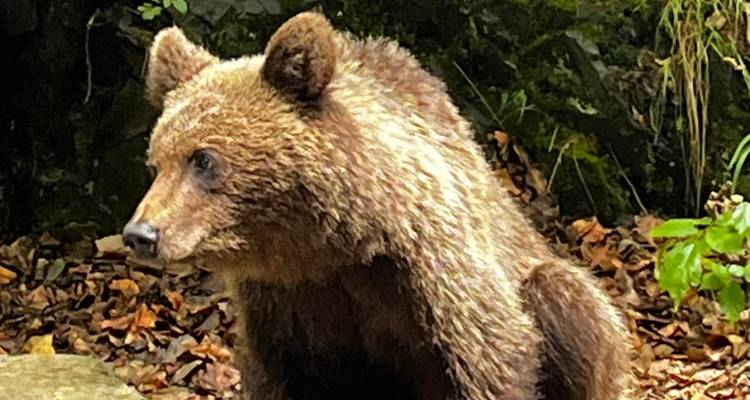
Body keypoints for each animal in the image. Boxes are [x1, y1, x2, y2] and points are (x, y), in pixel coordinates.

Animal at [122, 11, 633, 400]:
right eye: (155, 161)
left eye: (204, 159)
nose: (141, 234)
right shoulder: (284, 307)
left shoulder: (437, 277)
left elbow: (494, 354)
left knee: (566, 299)